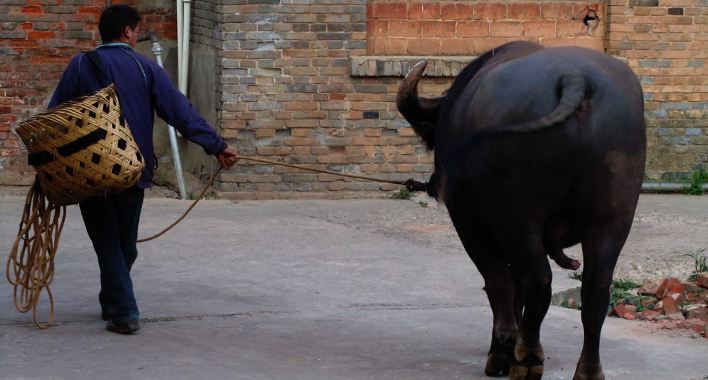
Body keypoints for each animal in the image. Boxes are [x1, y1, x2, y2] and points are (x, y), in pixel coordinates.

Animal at [398, 40, 648, 378]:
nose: (434, 184)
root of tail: (574, 78)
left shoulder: (468, 219)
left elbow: (499, 282)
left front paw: (501, 351)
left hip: (517, 218)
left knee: (537, 281)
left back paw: (526, 357)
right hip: (612, 219)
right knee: (595, 292)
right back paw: (587, 370)